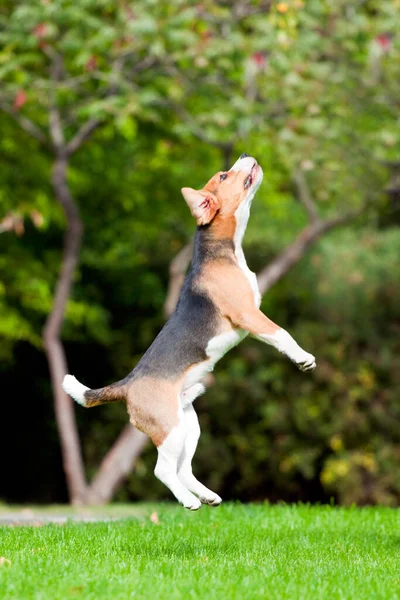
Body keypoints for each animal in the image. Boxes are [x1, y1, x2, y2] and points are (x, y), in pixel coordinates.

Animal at [63, 152, 316, 508]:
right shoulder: (249, 314)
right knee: (163, 471)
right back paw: (189, 500)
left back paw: (206, 495)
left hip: (188, 426)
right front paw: (303, 358)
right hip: (169, 429)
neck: (224, 249)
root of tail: (127, 384)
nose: (243, 155)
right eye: (223, 176)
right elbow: (281, 333)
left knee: (183, 469)